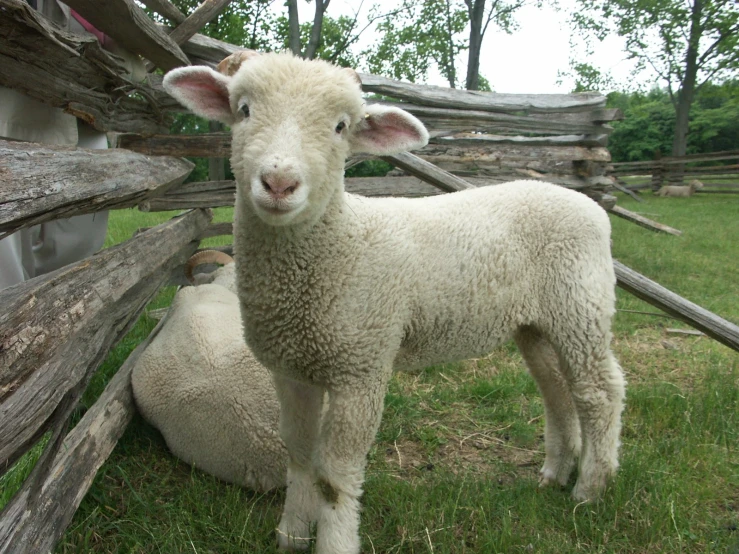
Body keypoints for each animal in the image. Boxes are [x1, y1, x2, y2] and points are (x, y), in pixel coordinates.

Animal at [165, 51, 628, 552]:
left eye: (341, 126)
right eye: (244, 110)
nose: (279, 183)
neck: (338, 244)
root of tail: (585, 203)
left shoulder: (361, 367)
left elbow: (335, 475)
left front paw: (334, 541)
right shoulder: (291, 370)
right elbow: (299, 453)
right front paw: (291, 533)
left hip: (579, 305)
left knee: (599, 392)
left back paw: (591, 487)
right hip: (536, 324)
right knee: (557, 391)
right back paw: (554, 474)